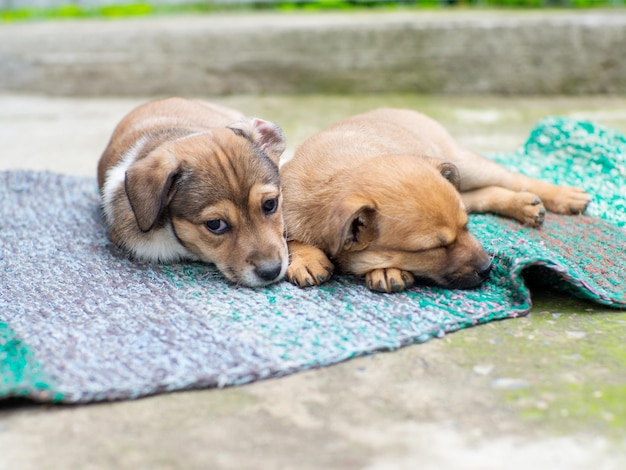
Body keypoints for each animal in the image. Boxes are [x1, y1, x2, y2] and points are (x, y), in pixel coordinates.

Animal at [280, 108, 588, 292]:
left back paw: (564, 196)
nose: (488, 269)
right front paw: (307, 259)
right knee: (481, 194)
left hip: (466, 162)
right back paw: (525, 206)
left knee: (513, 177)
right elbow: (290, 240)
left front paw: (386, 269)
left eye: (467, 227)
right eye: (434, 248)